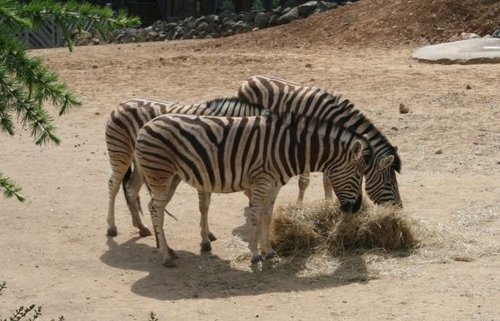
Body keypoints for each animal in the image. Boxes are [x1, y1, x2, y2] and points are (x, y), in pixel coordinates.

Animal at [105, 96, 268, 239]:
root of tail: (122, 104)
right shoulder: (204, 169)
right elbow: (204, 205)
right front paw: (205, 236)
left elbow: (206, 205)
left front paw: (207, 233)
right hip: (121, 153)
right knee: (113, 185)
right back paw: (111, 227)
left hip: (143, 163)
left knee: (131, 189)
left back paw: (141, 227)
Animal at [135, 109, 370, 266]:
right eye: (358, 175)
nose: (356, 208)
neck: (289, 147)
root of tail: (145, 126)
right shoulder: (262, 181)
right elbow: (256, 217)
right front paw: (255, 254)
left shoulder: (274, 184)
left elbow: (267, 216)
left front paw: (269, 251)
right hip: (160, 175)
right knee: (156, 209)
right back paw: (166, 256)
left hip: (171, 178)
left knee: (154, 208)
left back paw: (168, 249)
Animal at [237, 74, 402, 205]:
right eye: (389, 184)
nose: (398, 209)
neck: (331, 117)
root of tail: (249, 78)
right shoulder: (308, 142)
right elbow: (304, 181)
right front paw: (299, 205)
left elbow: (327, 181)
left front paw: (328, 203)